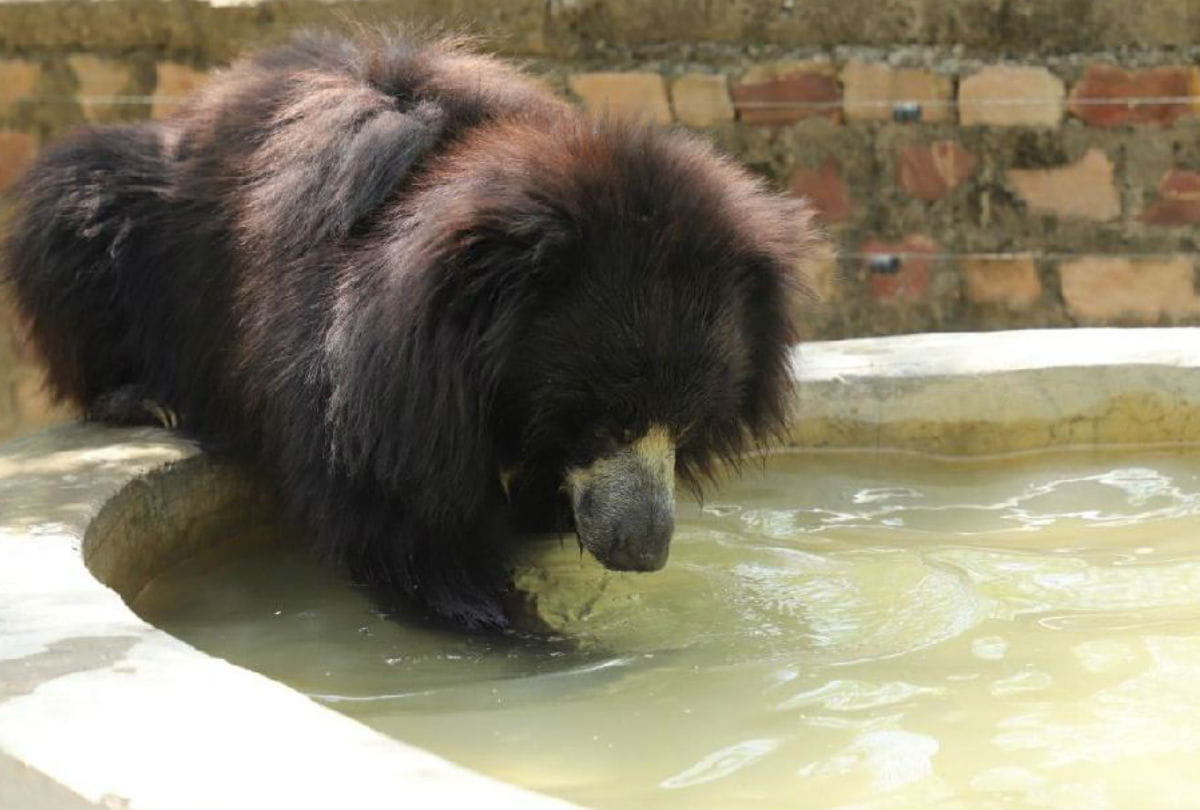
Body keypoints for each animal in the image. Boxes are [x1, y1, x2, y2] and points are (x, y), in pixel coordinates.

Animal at [2, 31, 821, 629]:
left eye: (688, 426)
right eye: (608, 421)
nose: (643, 550)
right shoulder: (358, 382)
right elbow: (396, 523)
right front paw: (525, 629)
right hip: (120, 213)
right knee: (79, 206)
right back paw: (142, 398)